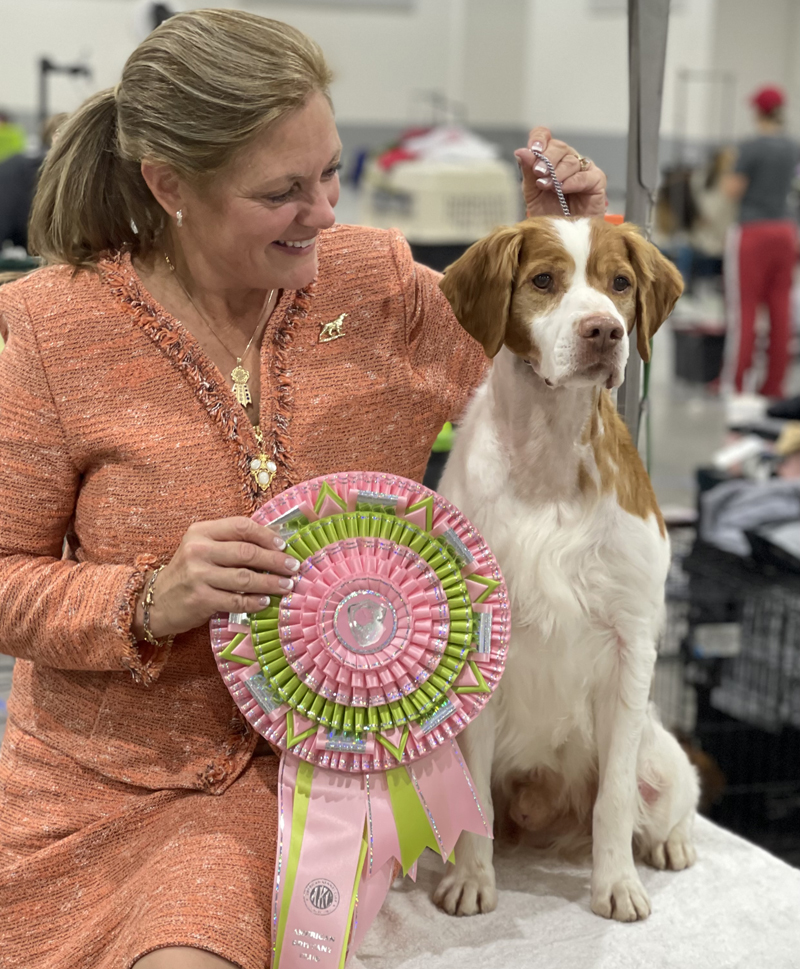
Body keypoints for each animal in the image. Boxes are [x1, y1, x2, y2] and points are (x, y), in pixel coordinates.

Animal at [432, 217, 700, 924]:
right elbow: (475, 799)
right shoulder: (479, 643)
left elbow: (615, 800)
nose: (604, 331)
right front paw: (472, 879)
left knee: (671, 798)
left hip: (660, 755)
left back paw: (672, 845)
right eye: (544, 280)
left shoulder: (631, 644)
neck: (550, 457)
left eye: (621, 283)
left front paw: (618, 885)